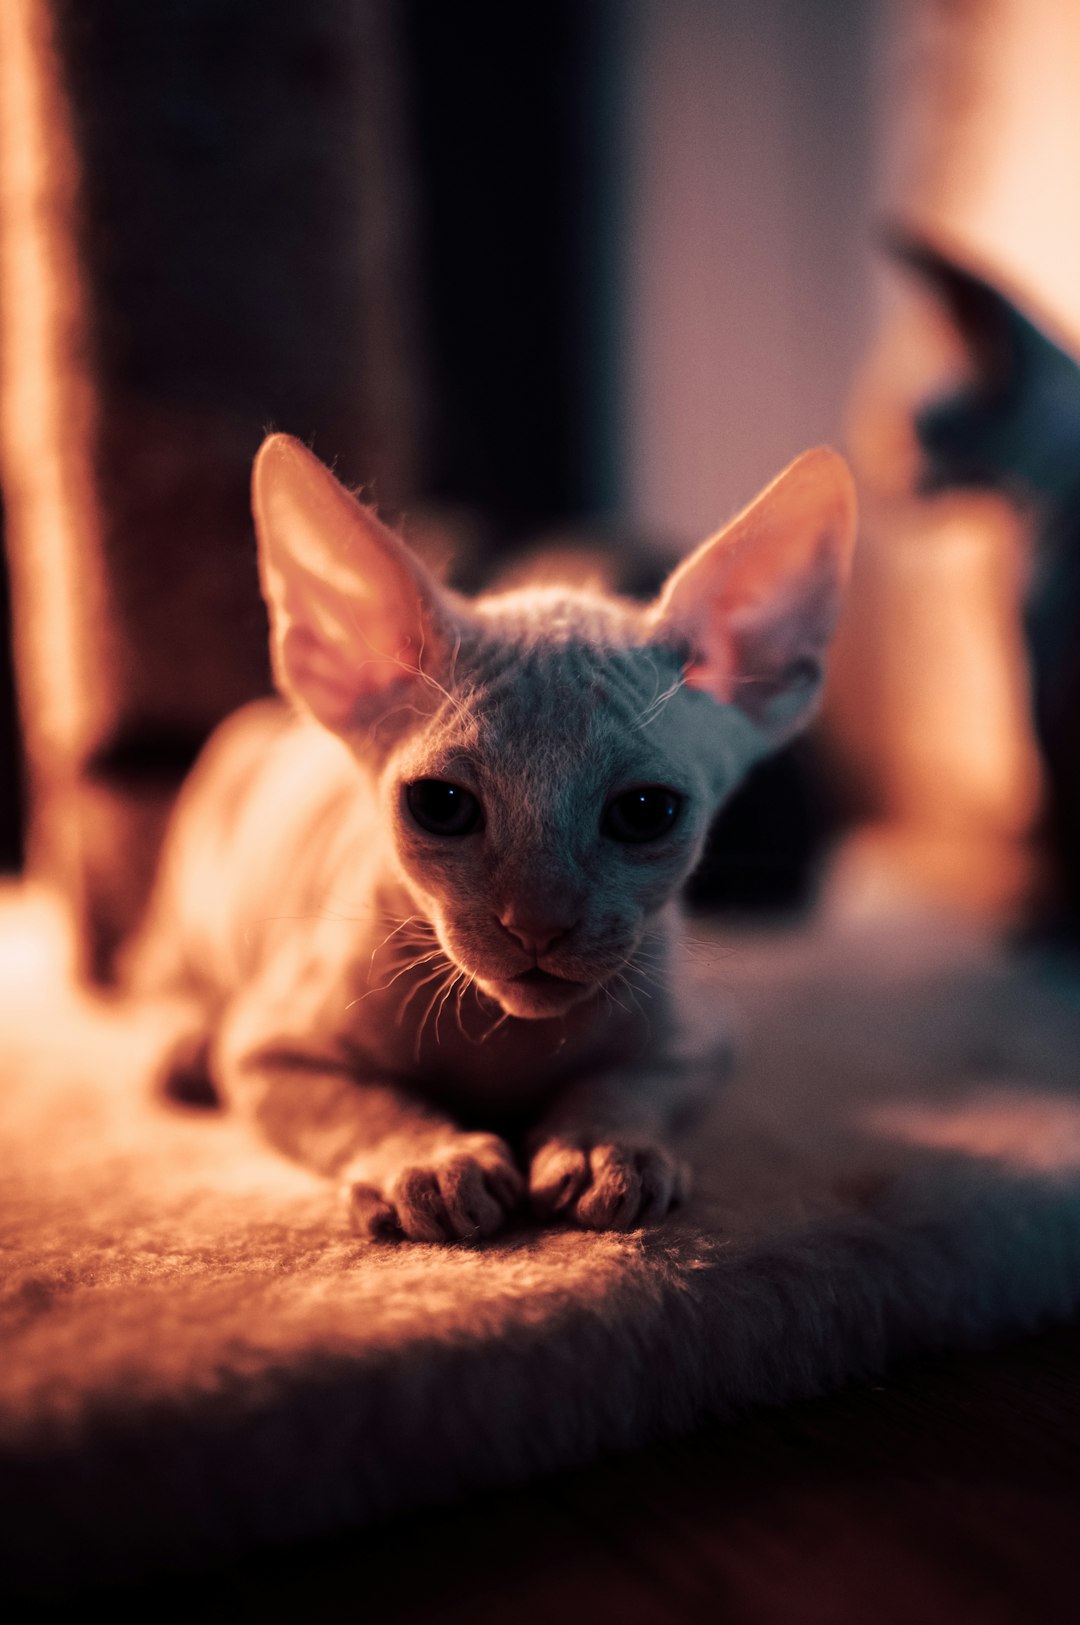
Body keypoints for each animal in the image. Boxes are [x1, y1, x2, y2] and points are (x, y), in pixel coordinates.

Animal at [128, 435, 851, 1241]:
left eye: (644, 812)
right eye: (441, 805)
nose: (536, 924)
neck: (507, 1040)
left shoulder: (700, 1040)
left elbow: (626, 1084)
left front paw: (602, 1147)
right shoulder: (269, 1049)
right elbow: (360, 1105)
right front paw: (430, 1160)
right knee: (159, 972)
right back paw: (184, 1043)